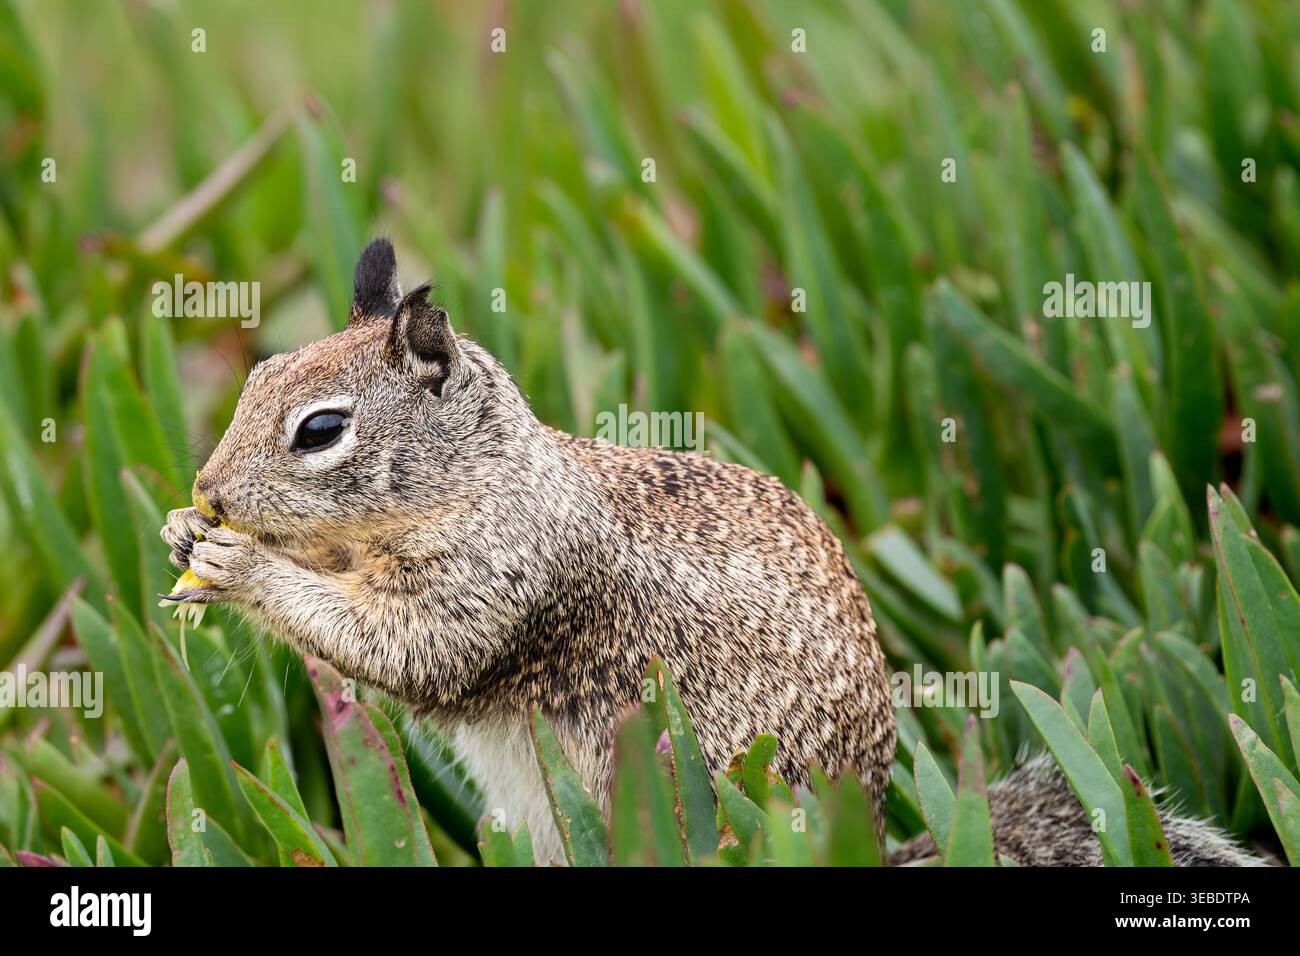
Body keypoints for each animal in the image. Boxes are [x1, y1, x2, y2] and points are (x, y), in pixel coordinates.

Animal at [161, 239, 1263, 866]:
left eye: (319, 430)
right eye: (255, 371)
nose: (210, 490)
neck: (486, 472)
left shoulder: (504, 574)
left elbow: (410, 649)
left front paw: (243, 567)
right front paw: (182, 532)